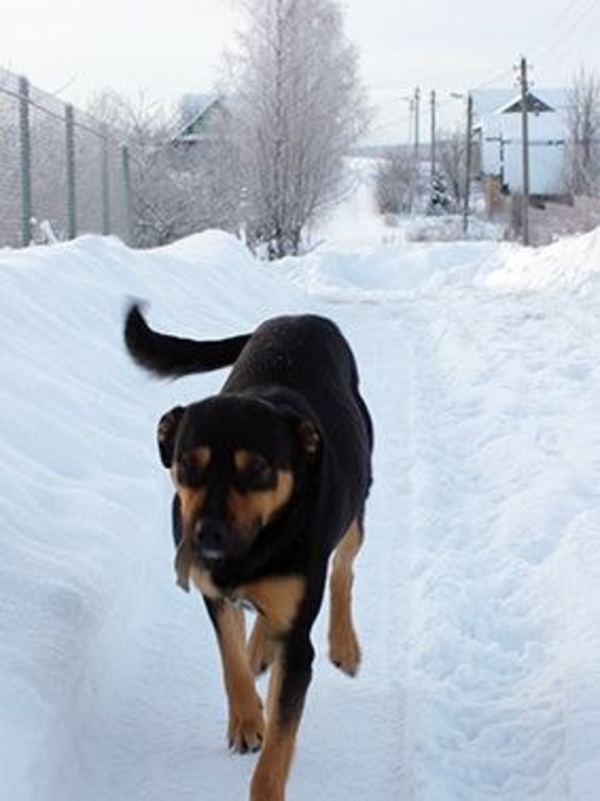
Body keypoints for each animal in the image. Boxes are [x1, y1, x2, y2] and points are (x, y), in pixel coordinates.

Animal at [124, 304, 372, 800]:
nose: (207, 536)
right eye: (187, 466)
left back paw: (343, 644)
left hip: (357, 504)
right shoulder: (213, 590)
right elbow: (231, 659)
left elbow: (281, 739)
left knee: (343, 567)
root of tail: (300, 317)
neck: (254, 546)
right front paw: (246, 721)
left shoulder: (298, 646)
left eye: (257, 469)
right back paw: (261, 648)